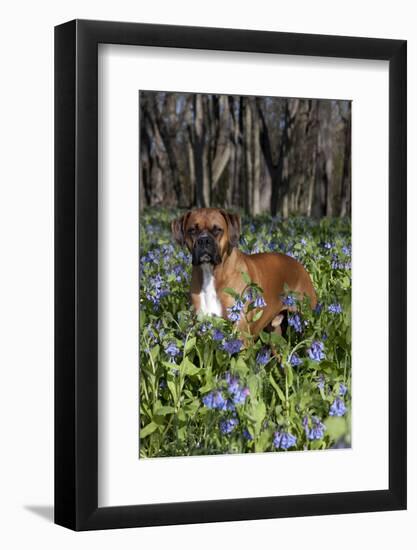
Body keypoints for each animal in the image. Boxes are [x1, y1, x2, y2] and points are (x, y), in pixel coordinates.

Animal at [170, 208, 316, 334]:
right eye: (192, 230)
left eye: (217, 230)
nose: (204, 240)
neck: (211, 274)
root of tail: (299, 264)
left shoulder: (240, 332)